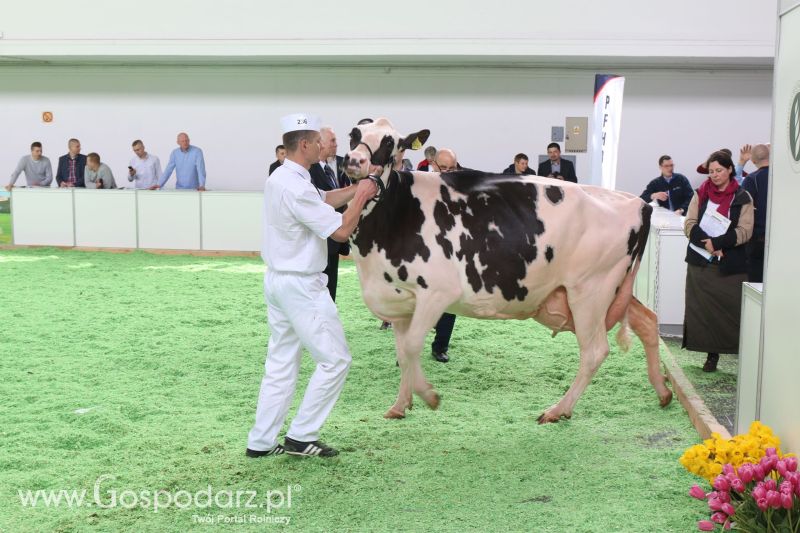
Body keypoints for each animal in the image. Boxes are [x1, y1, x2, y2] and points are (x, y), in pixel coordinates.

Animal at [342, 118, 668, 422]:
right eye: (353, 135)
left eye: (390, 143)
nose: (354, 161)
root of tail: (636, 202)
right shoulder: (398, 299)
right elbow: (403, 352)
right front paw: (400, 405)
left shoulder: (437, 291)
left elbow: (411, 347)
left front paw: (429, 396)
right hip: (614, 291)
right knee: (647, 321)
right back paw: (664, 392)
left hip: (590, 291)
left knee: (595, 351)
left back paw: (558, 410)